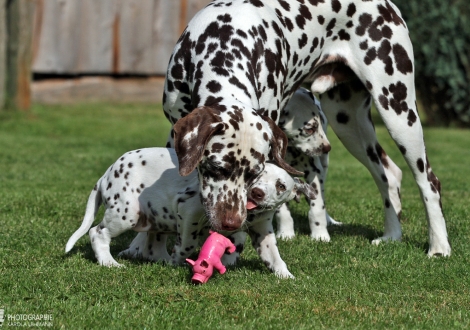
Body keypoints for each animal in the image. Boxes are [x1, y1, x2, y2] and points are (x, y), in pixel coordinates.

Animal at [65, 148, 316, 278]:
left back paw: (160, 260)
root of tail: (106, 174)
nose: (257, 192)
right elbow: (187, 244)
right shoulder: (189, 211)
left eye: (281, 186)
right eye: (257, 176)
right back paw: (109, 262)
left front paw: (285, 276)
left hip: (154, 221)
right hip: (126, 213)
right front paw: (181, 262)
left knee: (152, 248)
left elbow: (275, 257)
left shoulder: (263, 232)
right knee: (97, 233)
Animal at [130, 0, 450, 256]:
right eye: (217, 168)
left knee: (429, 181)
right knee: (389, 173)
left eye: (253, 173)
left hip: (399, 112)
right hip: (349, 123)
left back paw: (439, 246)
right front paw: (140, 245)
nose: (231, 222)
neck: (222, 41)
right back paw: (392, 235)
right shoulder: (174, 141)